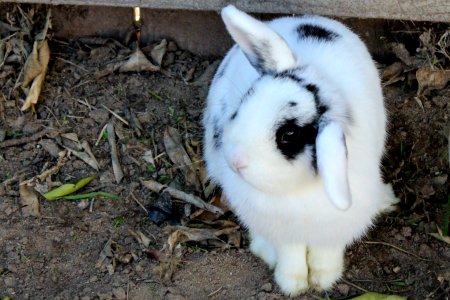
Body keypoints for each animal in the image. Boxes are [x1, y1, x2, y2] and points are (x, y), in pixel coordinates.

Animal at [202, 4, 396, 296]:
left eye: (288, 134)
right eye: (246, 99)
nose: (236, 161)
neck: (295, 192)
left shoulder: (335, 228)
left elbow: (327, 252)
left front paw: (324, 279)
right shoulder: (282, 232)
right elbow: (289, 254)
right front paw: (292, 284)